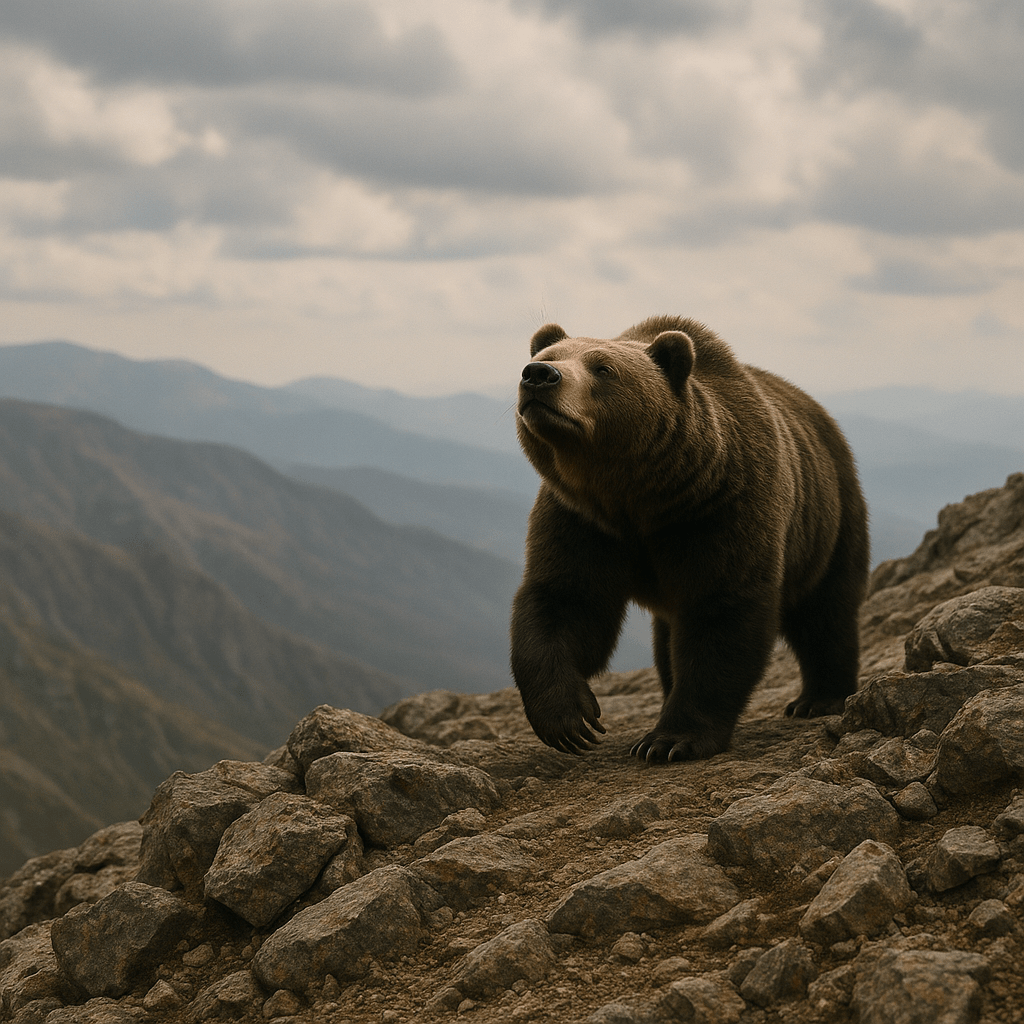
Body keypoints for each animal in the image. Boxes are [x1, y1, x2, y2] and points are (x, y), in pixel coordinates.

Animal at [510, 315, 869, 762]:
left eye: (603, 368)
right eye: (550, 354)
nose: (539, 375)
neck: (640, 497)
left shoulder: (720, 511)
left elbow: (721, 614)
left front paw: (670, 740)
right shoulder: (581, 519)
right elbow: (566, 600)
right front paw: (569, 721)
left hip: (829, 515)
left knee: (826, 611)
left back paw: (819, 698)